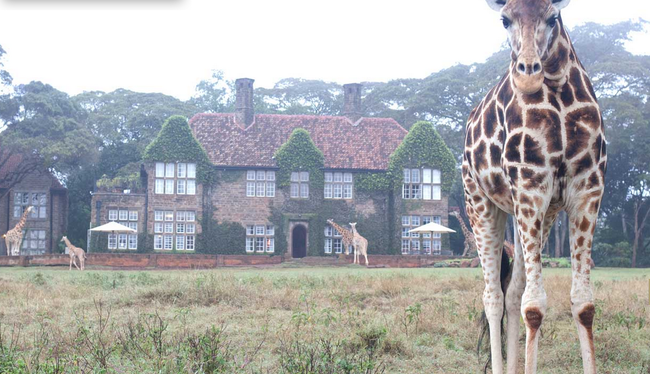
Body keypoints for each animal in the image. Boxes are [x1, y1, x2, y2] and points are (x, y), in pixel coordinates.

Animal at [460, 1, 604, 372]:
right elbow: (535, 306)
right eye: (504, 20)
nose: (528, 74)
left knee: (512, 292)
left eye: (553, 17)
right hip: (480, 203)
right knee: (493, 297)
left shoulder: (587, 190)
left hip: (537, 213)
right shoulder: (530, 184)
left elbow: (584, 304)